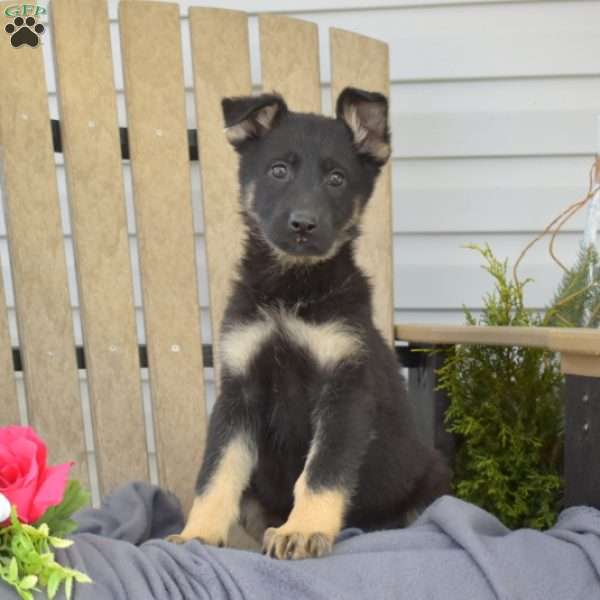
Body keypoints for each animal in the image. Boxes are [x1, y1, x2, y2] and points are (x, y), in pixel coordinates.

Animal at [170, 86, 450, 560]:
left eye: (336, 179)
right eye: (278, 170)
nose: (303, 225)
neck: (291, 290)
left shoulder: (345, 389)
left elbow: (323, 470)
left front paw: (302, 529)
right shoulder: (239, 390)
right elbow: (216, 471)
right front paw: (198, 533)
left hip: (433, 479)